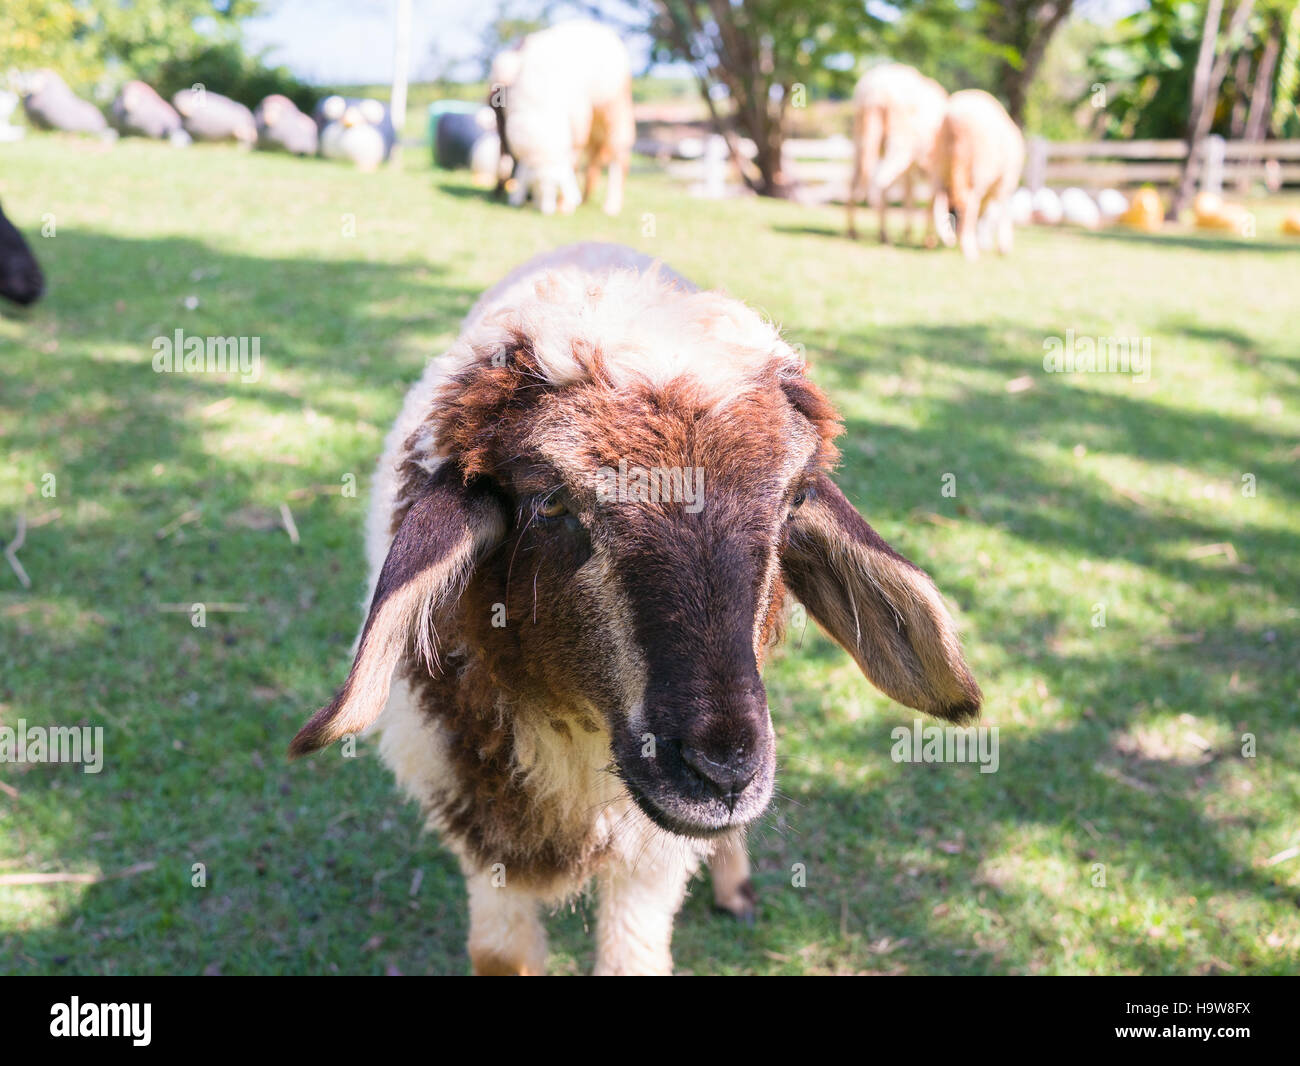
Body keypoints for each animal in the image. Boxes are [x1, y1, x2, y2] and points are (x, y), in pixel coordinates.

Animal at [292, 239, 982, 972]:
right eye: (552, 502)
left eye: (794, 498)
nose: (722, 772)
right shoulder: (477, 823)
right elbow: (500, 954)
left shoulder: (652, 854)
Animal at [499, 23, 637, 214]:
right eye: (534, 187)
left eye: (554, 186)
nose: (546, 212)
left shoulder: (577, 131)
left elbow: (572, 164)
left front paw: (565, 206)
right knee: (594, 160)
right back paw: (586, 198)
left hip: (615, 105)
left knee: (619, 154)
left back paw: (612, 205)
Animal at [842, 64, 946, 243]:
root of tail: (873, 91)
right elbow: (929, 201)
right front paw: (928, 239)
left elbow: (910, 195)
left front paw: (908, 233)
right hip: (898, 142)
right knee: (881, 182)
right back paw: (883, 234)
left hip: (860, 137)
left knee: (854, 181)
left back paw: (854, 231)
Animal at [935, 89, 1024, 260]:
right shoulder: (1006, 180)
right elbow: (1002, 209)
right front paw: (1003, 246)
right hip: (977, 171)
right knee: (968, 203)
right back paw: (969, 251)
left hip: (941, 168)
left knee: (940, 199)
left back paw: (946, 239)